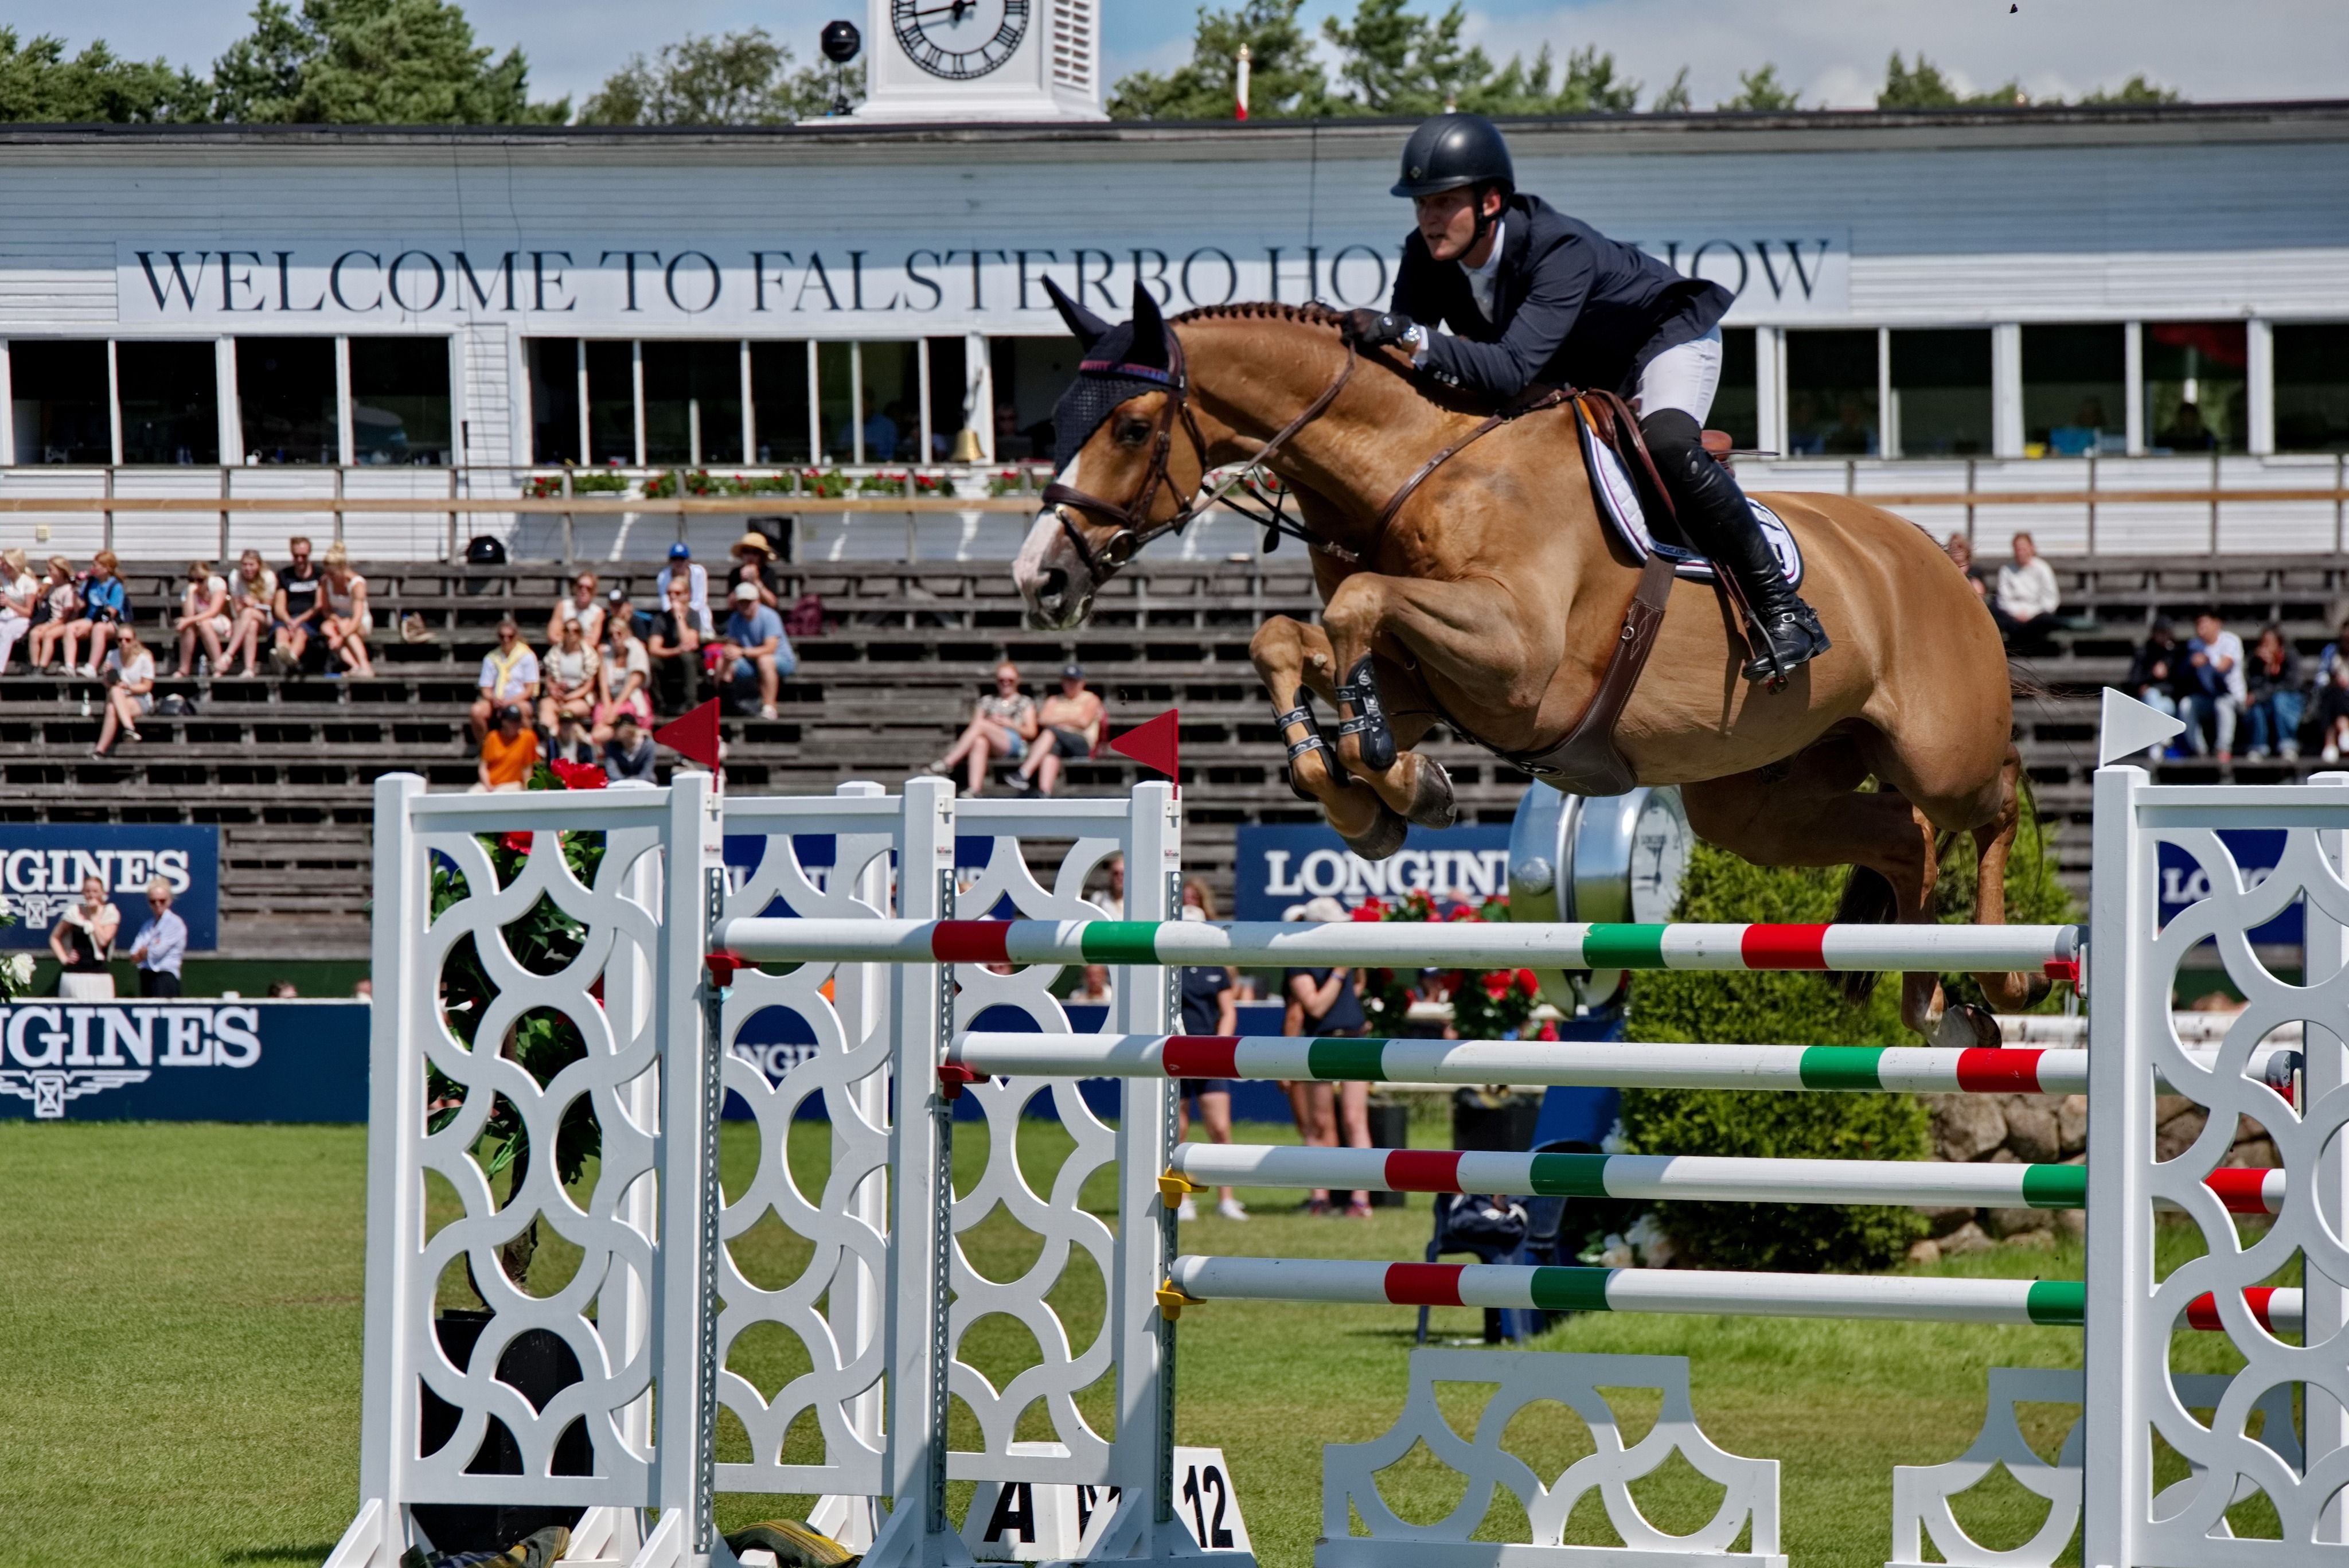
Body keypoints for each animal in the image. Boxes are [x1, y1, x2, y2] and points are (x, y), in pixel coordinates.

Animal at [1014, 282, 2039, 1043]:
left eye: (1132, 428)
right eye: (1056, 417)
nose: (1041, 574)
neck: (1419, 469)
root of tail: (1935, 560)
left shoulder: (1517, 662)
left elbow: (1352, 606)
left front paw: (1382, 769)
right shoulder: (1434, 679)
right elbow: (1289, 639)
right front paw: (1374, 790)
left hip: (1939, 750)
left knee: (1993, 797)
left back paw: (2008, 975)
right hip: (1761, 801)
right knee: (1904, 836)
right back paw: (1931, 999)